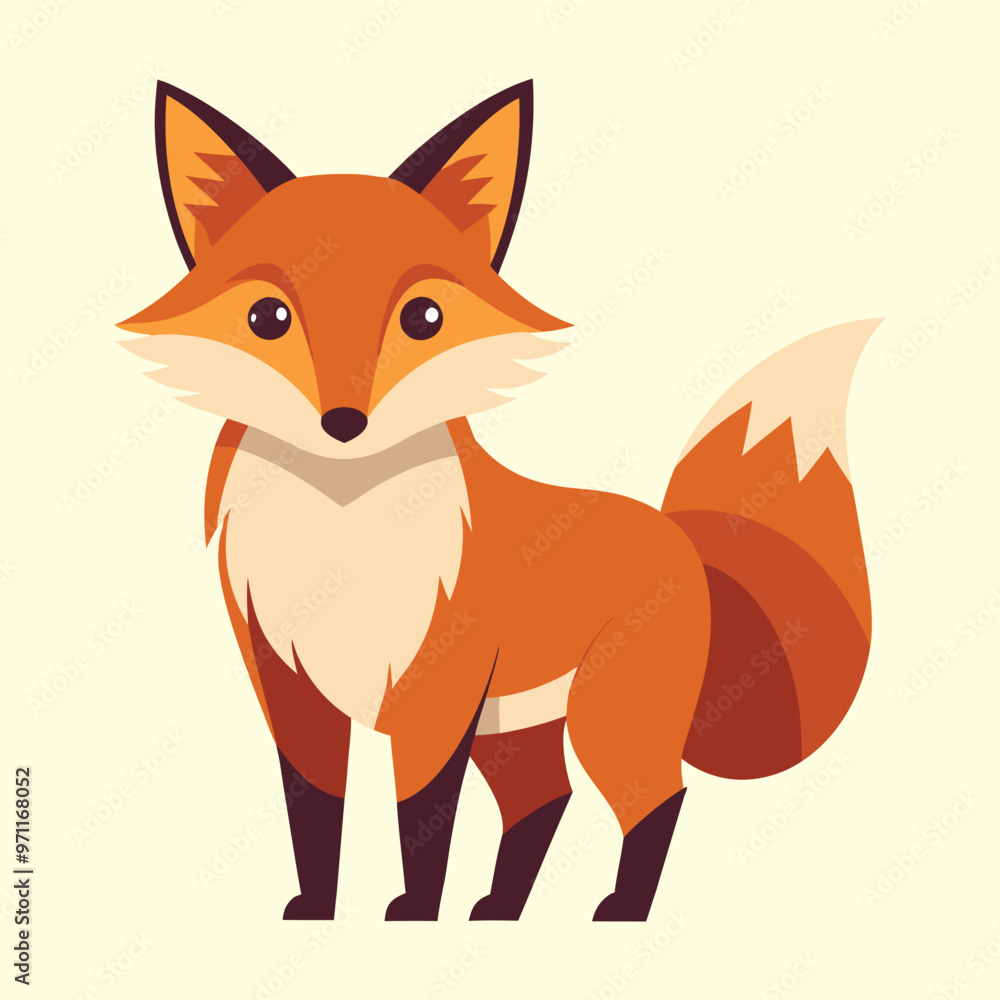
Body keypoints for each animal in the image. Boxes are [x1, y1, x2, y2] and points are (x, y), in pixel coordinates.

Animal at [119, 80, 875, 922]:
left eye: (424, 318)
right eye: (267, 319)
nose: (344, 424)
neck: (344, 531)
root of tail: (674, 531)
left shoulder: (437, 686)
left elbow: (420, 817)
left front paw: (415, 914)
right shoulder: (290, 686)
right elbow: (313, 812)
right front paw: (319, 911)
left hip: (606, 716)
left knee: (657, 796)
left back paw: (621, 910)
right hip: (513, 728)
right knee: (544, 799)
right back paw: (504, 907)